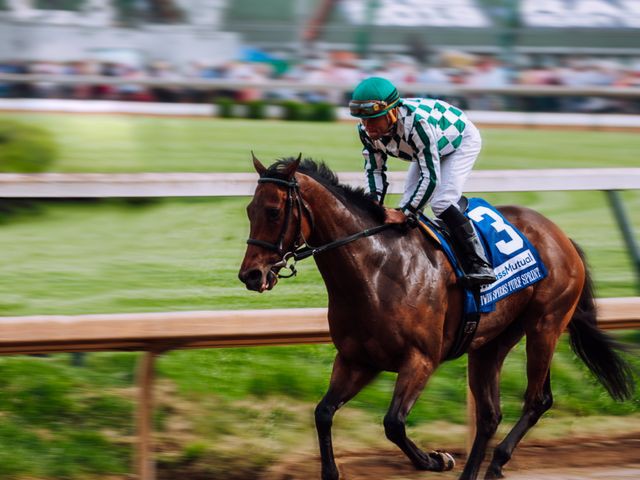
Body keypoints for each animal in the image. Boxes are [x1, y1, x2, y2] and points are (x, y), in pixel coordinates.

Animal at [240, 156, 636, 478]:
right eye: (249, 210)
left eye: (273, 211)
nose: (251, 275)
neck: (376, 269)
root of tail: (561, 235)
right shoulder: (356, 359)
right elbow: (323, 413)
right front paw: (332, 472)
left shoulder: (421, 359)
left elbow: (393, 423)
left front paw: (437, 459)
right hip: (490, 342)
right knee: (490, 414)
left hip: (546, 324)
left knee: (537, 400)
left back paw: (497, 462)